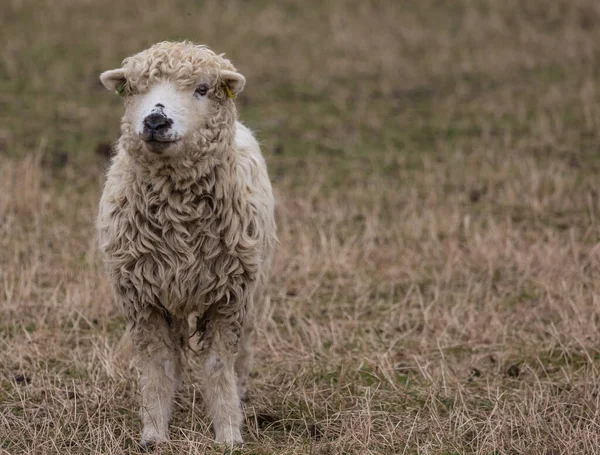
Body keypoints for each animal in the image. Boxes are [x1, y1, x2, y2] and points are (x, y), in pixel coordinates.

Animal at [96, 41, 276, 448]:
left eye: (203, 89)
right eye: (133, 87)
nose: (155, 121)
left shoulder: (229, 298)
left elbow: (218, 365)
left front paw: (228, 433)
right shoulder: (143, 298)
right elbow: (158, 365)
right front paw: (153, 432)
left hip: (252, 289)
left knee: (243, 352)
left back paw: (241, 395)